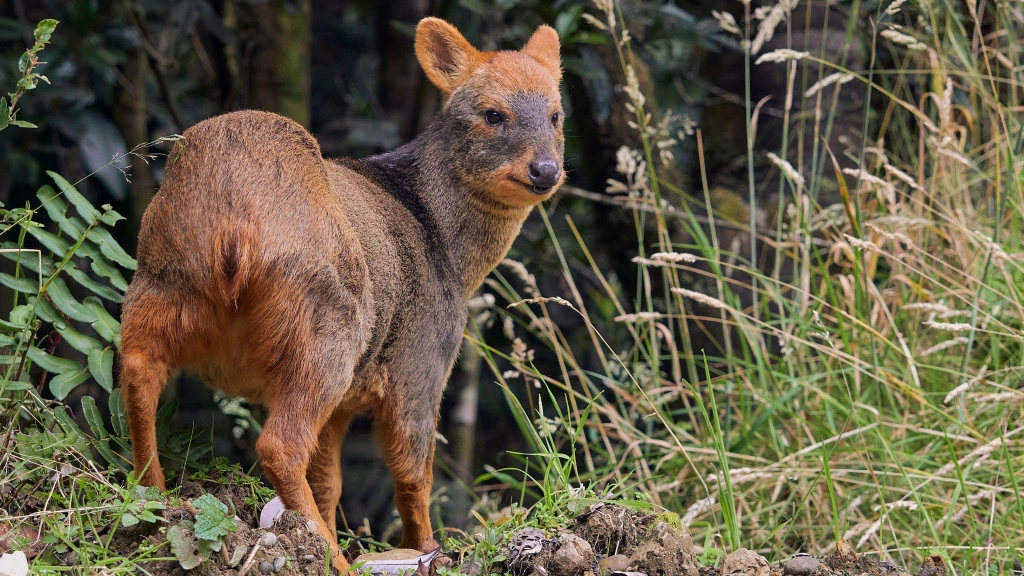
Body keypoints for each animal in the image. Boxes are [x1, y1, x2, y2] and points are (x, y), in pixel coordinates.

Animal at [122, 16, 565, 569]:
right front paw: (429, 550)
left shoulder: (346, 404)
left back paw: (154, 502)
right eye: (493, 114)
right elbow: (412, 474)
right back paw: (334, 559)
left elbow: (329, 481)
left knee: (138, 369)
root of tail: (233, 218)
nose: (546, 170)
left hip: (159, 281)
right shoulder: (421, 362)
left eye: (556, 115)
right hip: (326, 327)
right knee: (279, 445)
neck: (449, 249)